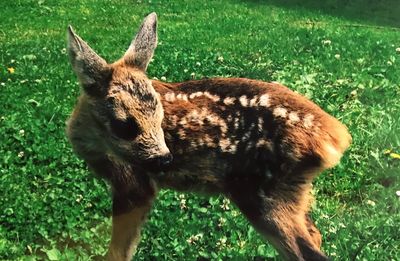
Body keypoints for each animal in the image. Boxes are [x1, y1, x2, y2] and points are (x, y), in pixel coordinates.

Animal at [67, 12, 352, 260]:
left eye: (159, 117)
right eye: (123, 125)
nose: (165, 160)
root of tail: (336, 136)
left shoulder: (134, 183)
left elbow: (119, 251)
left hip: (266, 194)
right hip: (292, 193)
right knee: (315, 233)